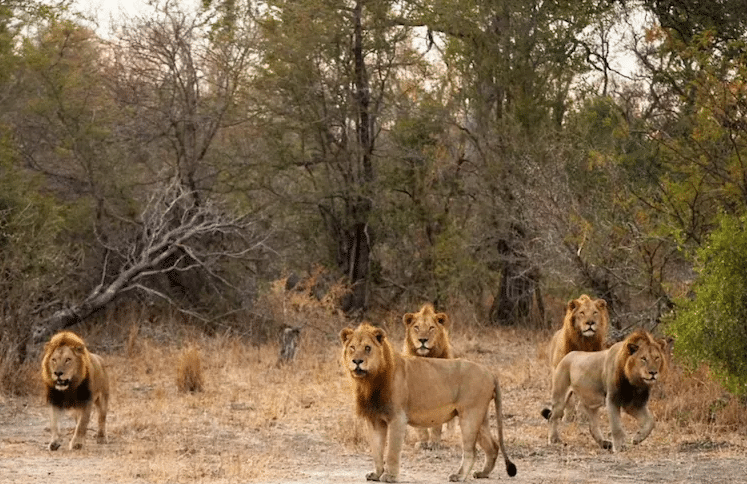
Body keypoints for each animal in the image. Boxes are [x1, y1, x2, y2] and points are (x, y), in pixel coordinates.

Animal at [340, 323, 516, 482]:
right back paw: (482, 473)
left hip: (470, 416)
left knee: (471, 451)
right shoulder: (375, 420)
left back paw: (459, 476)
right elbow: (376, 451)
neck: (369, 381)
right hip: (480, 417)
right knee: (493, 446)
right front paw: (376, 474)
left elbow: (391, 451)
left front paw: (389, 476)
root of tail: (490, 372)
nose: (357, 361)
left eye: (368, 348)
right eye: (352, 348)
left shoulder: (397, 418)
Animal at [402, 303, 453, 448]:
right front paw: (423, 442)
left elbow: (437, 423)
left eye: (431, 328)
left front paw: (434, 442)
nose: (423, 340)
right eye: (416, 327)